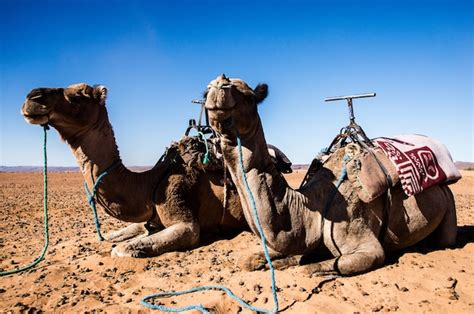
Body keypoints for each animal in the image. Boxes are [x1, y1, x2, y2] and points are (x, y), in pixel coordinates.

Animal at [203, 75, 456, 276]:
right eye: (205, 92)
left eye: (249, 97)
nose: (218, 86)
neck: (310, 210)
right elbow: (250, 260)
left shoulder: (367, 246)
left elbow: (307, 268)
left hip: (449, 202)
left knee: (446, 239)